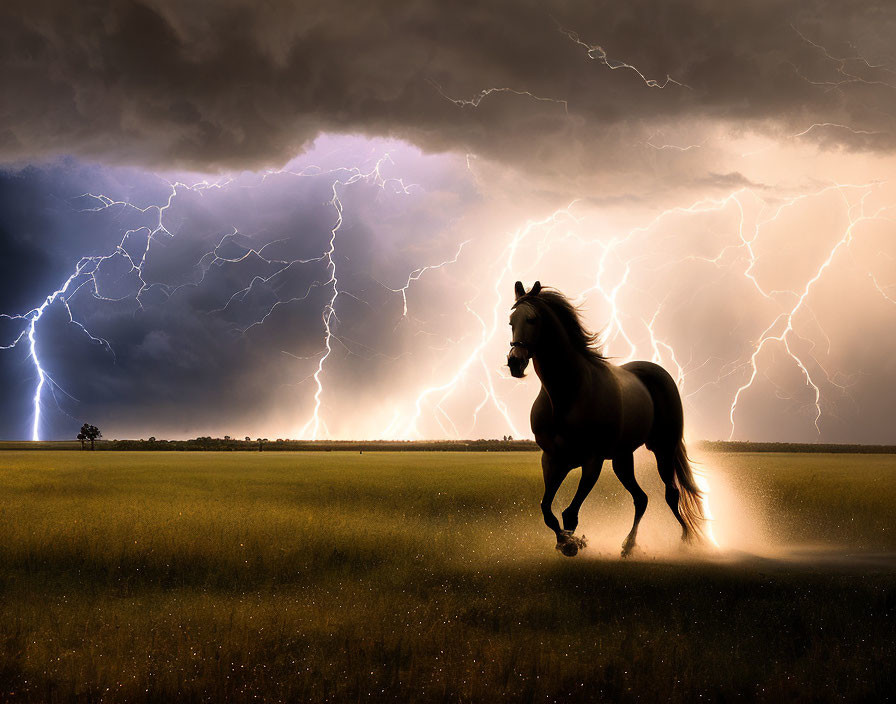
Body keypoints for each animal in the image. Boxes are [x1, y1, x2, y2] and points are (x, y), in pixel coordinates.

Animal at [504, 280, 708, 556]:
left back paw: (687, 539)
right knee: (641, 498)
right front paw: (564, 541)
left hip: (663, 449)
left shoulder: (593, 460)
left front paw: (572, 543)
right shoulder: (553, 460)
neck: (567, 394)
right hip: (622, 458)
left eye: (532, 319)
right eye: (511, 322)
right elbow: (547, 509)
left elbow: (570, 513)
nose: (515, 363)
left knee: (672, 493)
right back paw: (629, 545)